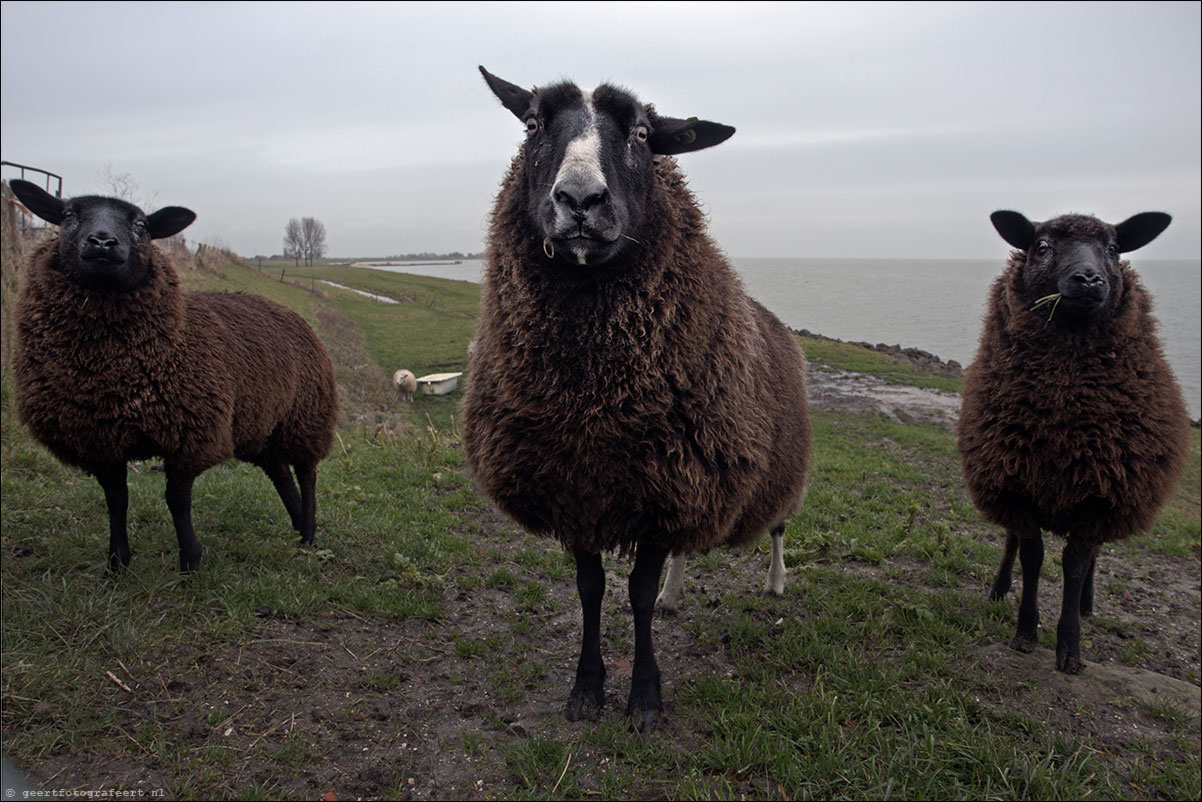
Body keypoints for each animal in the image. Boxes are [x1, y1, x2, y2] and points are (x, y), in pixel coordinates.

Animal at [9, 179, 338, 574]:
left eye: (141, 224)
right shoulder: (99, 439)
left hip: (306, 415)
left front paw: (190, 563)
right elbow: (116, 499)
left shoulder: (189, 435)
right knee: (281, 472)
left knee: (306, 473)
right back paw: (297, 525)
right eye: (68, 214)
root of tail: (287, 310)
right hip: (260, 423)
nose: (103, 242)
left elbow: (177, 501)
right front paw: (117, 563)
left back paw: (309, 533)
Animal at [463, 70, 812, 735]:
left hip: (769, 468)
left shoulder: (664, 488)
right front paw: (586, 688)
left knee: (779, 526)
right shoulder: (578, 489)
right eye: (532, 124)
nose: (579, 199)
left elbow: (638, 595)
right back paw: (680, 594)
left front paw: (645, 697)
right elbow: (592, 590)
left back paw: (778, 583)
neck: (593, 403)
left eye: (645, 134)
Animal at [956, 210, 1192, 673]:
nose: (1088, 279)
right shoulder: (1016, 483)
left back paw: (1086, 604)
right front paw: (1026, 632)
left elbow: (1076, 563)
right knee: (1011, 542)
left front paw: (1070, 647)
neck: (1062, 421)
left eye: (1114, 249)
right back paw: (999, 587)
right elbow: (1032, 555)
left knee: (1093, 558)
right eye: (1042, 246)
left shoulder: (1101, 495)